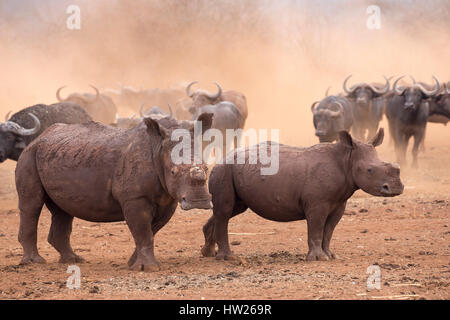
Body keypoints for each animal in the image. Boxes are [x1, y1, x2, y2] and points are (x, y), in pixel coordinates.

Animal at [16, 112, 214, 270]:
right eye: (173, 172)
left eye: (206, 168)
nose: (199, 202)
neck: (158, 147)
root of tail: (39, 137)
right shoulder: (135, 197)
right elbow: (143, 232)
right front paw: (148, 268)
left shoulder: (168, 199)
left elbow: (151, 231)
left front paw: (133, 263)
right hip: (28, 155)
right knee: (32, 205)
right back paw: (34, 262)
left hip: (57, 154)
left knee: (63, 210)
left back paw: (73, 260)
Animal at [202, 129, 402, 262]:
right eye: (369, 170)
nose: (396, 188)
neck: (347, 159)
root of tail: (220, 160)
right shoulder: (317, 203)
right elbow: (316, 228)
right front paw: (318, 258)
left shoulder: (339, 203)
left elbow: (329, 230)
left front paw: (330, 255)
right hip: (224, 170)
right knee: (225, 211)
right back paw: (228, 258)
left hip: (233, 171)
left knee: (229, 210)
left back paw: (208, 253)